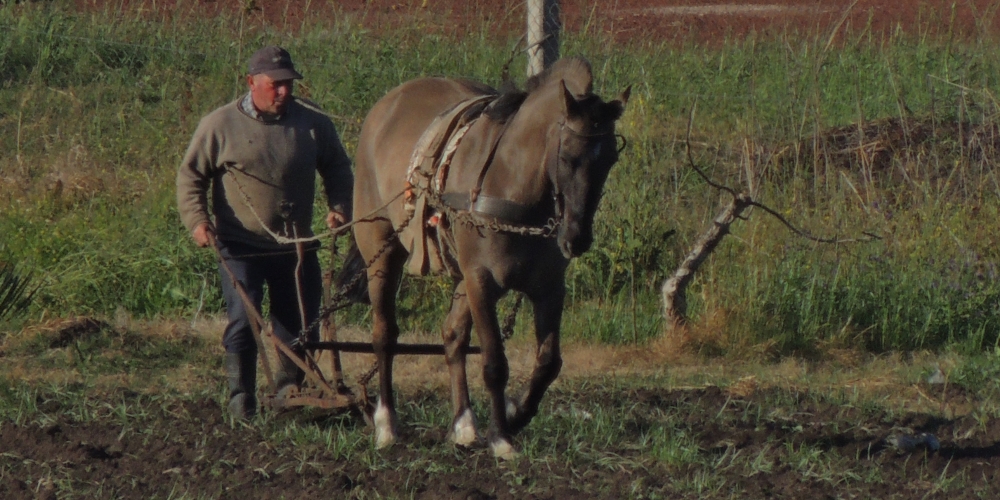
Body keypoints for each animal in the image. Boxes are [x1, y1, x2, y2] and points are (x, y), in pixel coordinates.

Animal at [348, 56, 628, 458]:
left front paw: (515, 414)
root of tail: (386, 105)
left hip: (460, 275)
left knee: (452, 335)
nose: (577, 237)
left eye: (609, 160)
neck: (512, 183)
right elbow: (495, 361)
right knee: (385, 334)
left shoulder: (548, 289)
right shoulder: (481, 281)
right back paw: (386, 425)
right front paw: (501, 437)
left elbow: (548, 362)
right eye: (567, 156)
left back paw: (464, 423)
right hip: (382, 253)